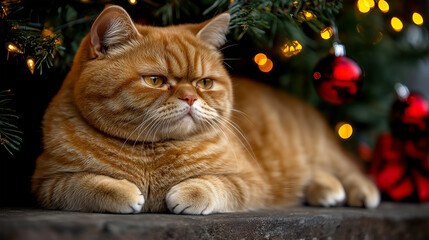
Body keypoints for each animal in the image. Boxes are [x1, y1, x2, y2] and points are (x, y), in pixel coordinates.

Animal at [31, 5, 378, 214]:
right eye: (155, 80)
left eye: (204, 83)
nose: (189, 98)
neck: (153, 153)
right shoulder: (46, 182)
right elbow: (83, 184)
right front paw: (123, 192)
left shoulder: (252, 181)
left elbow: (217, 184)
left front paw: (188, 192)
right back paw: (325, 188)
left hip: (319, 149)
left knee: (348, 169)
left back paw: (357, 191)